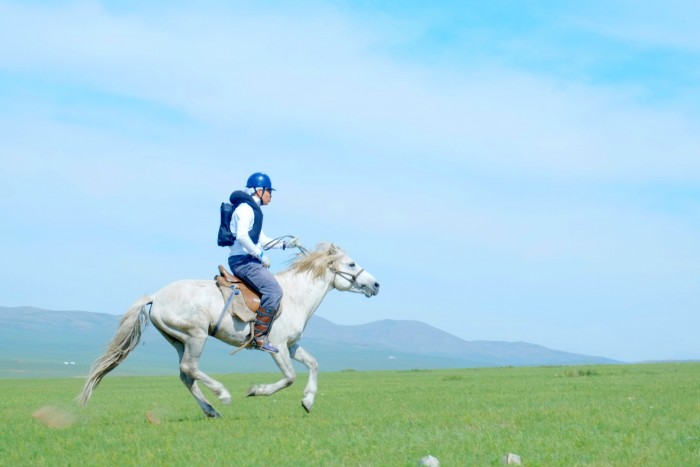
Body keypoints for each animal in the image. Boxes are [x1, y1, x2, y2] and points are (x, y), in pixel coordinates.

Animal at [77, 243, 380, 418]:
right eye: (351, 264)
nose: (376, 285)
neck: (295, 295)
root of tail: (155, 296)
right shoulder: (278, 347)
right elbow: (290, 377)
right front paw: (256, 390)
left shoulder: (292, 346)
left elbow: (314, 365)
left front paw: (307, 401)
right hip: (196, 336)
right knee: (190, 368)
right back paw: (222, 395)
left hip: (178, 340)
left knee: (185, 374)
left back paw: (211, 411)